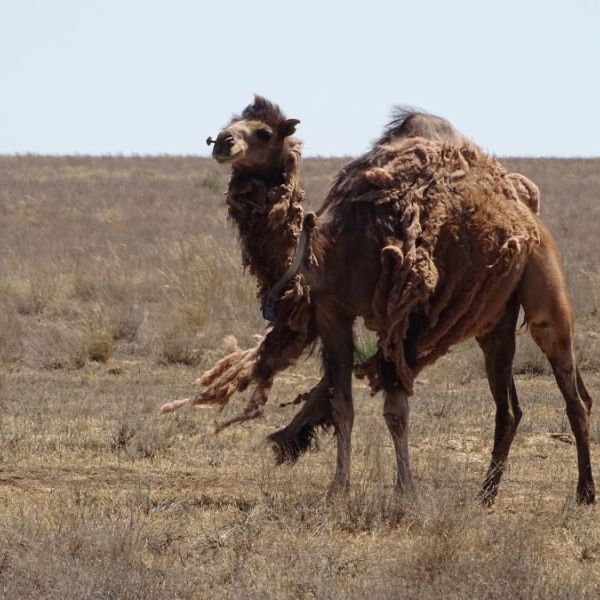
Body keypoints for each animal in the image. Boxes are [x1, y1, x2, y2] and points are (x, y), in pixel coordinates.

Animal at [164, 97, 596, 502]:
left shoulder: (403, 319)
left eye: (264, 132)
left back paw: (584, 492)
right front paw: (338, 487)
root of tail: (526, 209)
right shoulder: (333, 314)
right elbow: (343, 407)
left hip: (545, 290)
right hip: (496, 319)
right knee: (509, 407)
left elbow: (396, 412)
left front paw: (406, 490)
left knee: (574, 394)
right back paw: (485, 495)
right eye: (230, 123)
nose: (223, 142)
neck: (328, 249)